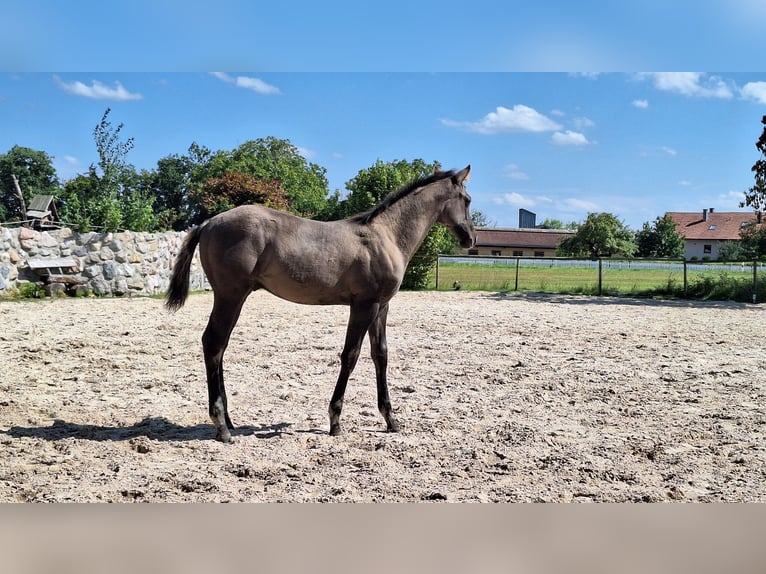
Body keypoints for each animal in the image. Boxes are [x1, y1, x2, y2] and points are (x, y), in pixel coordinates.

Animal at [166, 165, 475, 442]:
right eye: (468, 200)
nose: (471, 238)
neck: (386, 235)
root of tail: (208, 223)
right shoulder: (364, 305)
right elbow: (350, 355)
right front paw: (335, 420)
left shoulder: (381, 307)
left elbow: (381, 355)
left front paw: (391, 419)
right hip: (230, 295)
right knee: (214, 343)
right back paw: (222, 426)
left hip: (235, 298)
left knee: (220, 346)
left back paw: (229, 419)